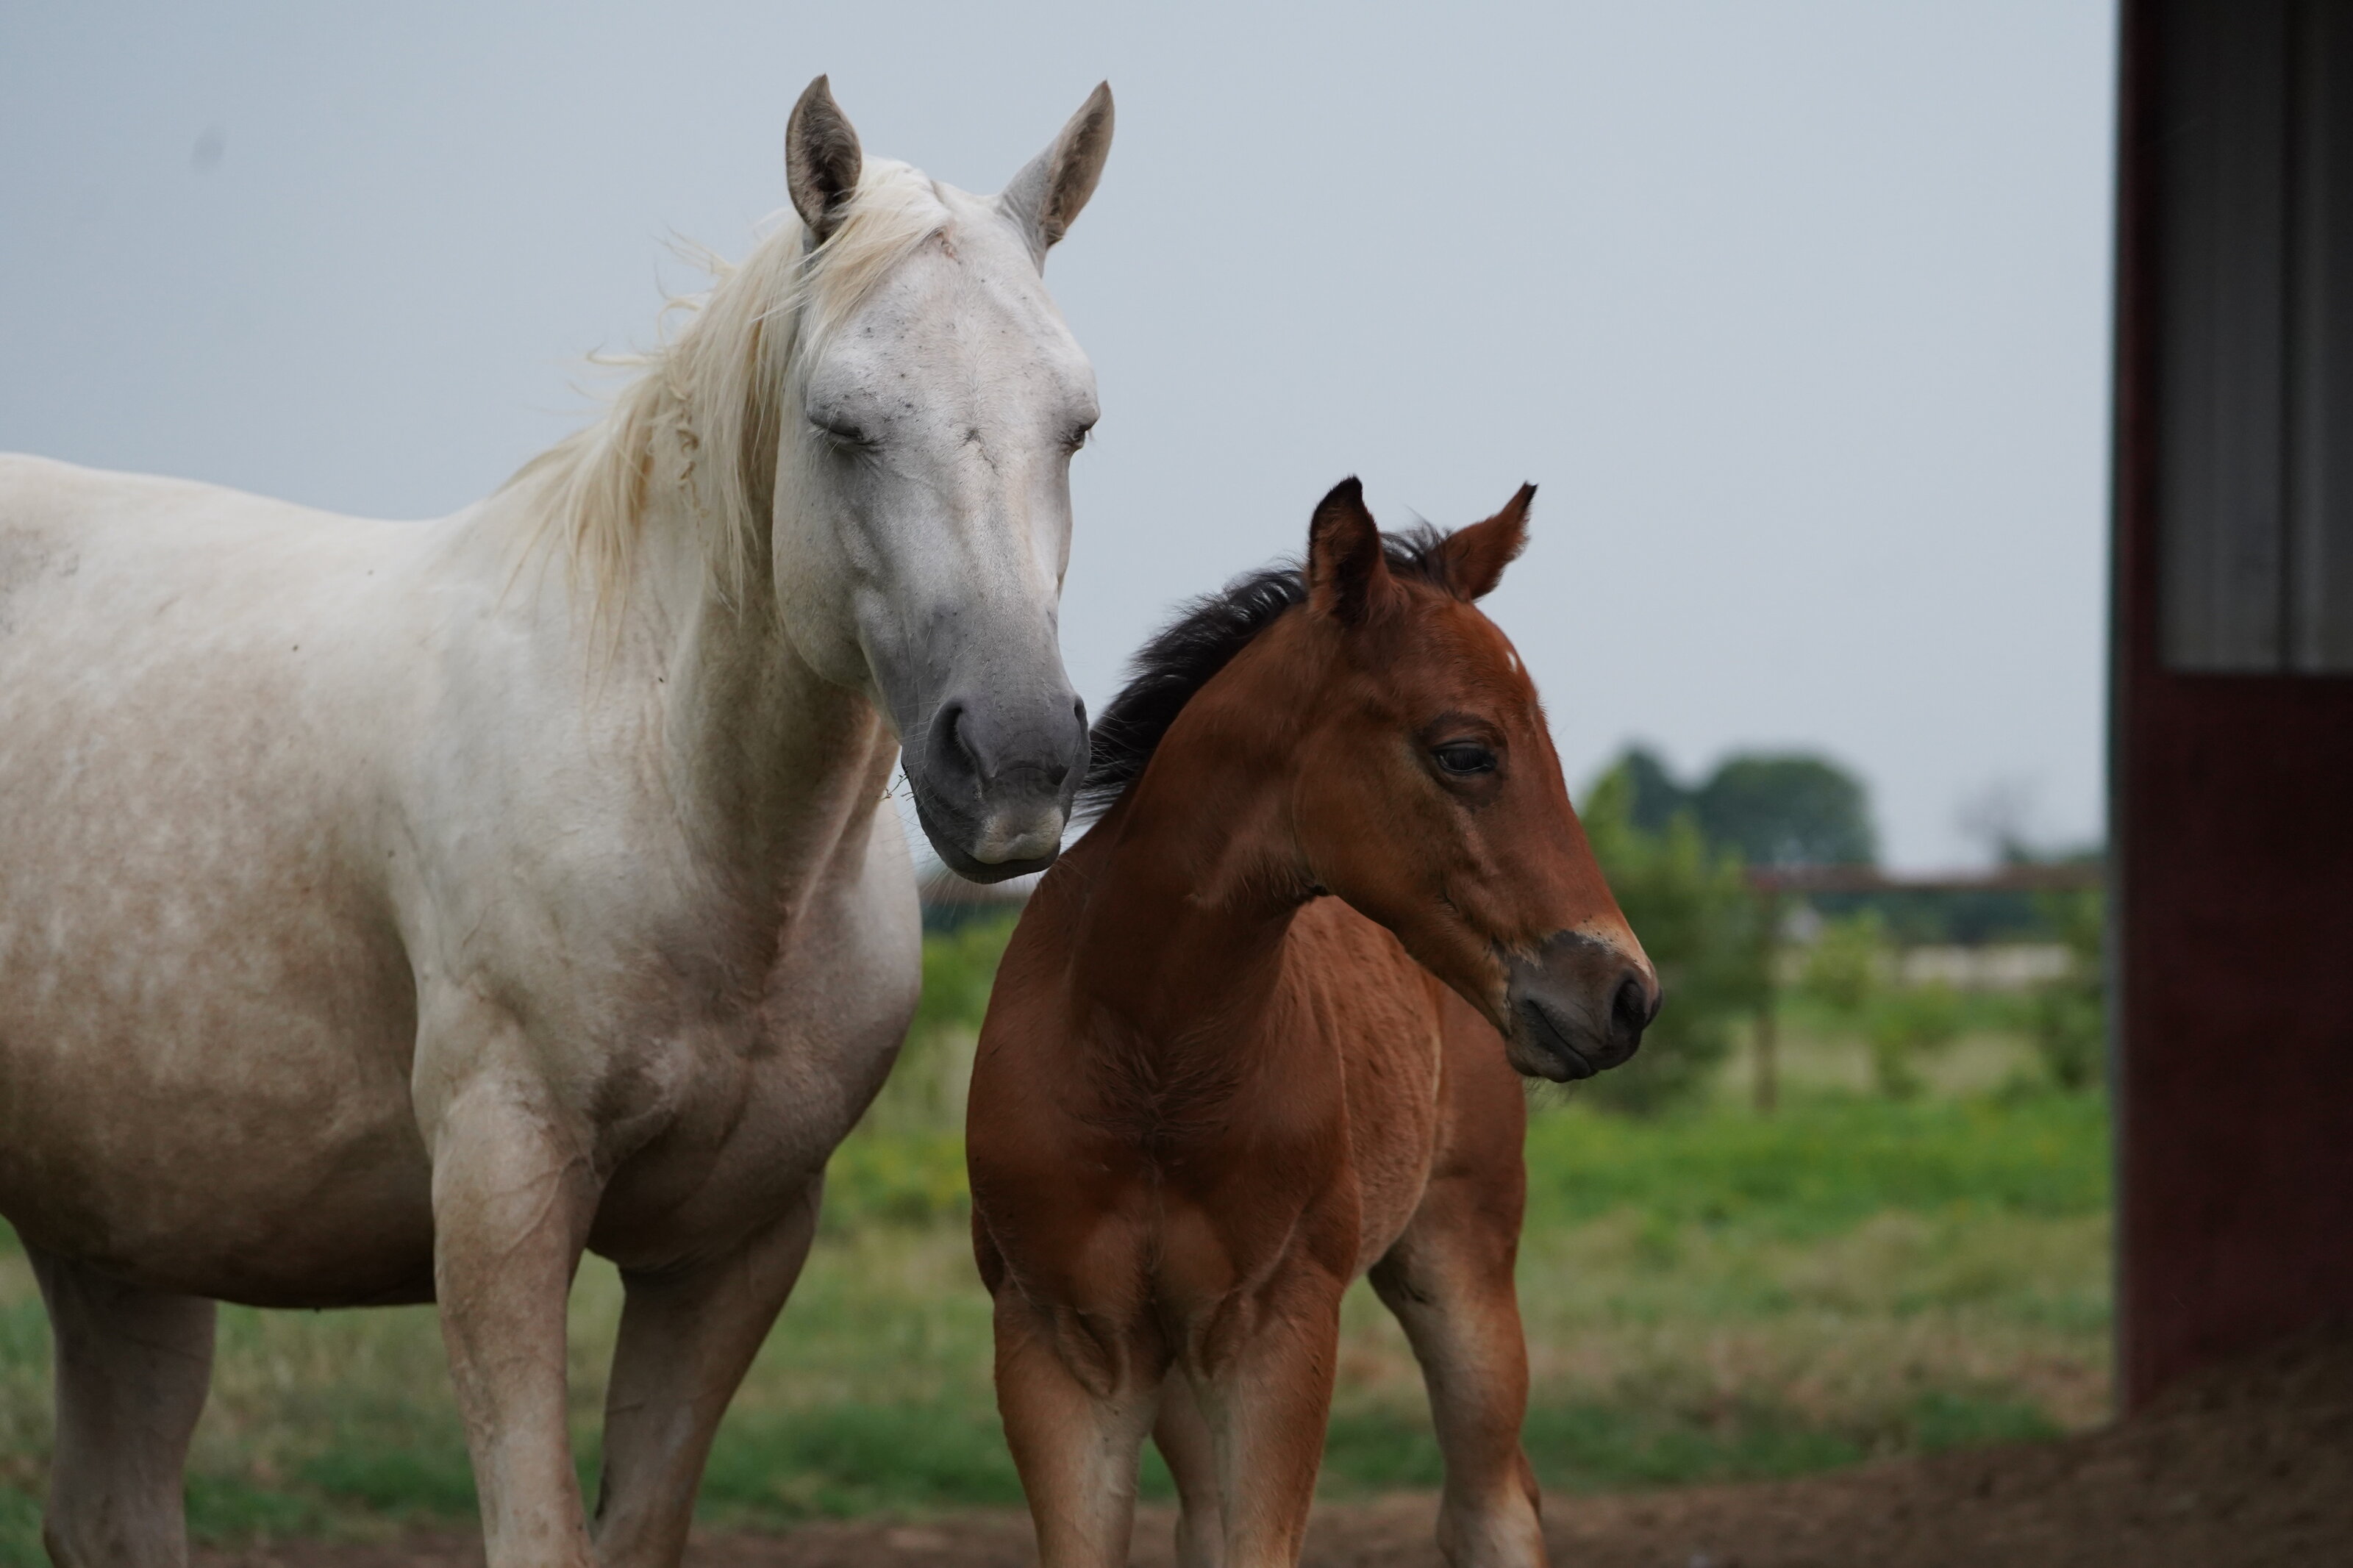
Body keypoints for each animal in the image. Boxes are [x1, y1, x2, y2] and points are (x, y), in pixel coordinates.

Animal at [0, 75, 1111, 1568]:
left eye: (1076, 424)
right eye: (841, 424)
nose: (1017, 764)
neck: (677, 803)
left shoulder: (731, 1247)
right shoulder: (501, 1205)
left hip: (121, 1231)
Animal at [967, 478, 1660, 1568]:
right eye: (1466, 751)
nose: (1625, 993)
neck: (1148, 1064)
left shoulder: (1279, 1330)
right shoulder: (1059, 1344)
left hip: (1458, 1258)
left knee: (1491, 1500)